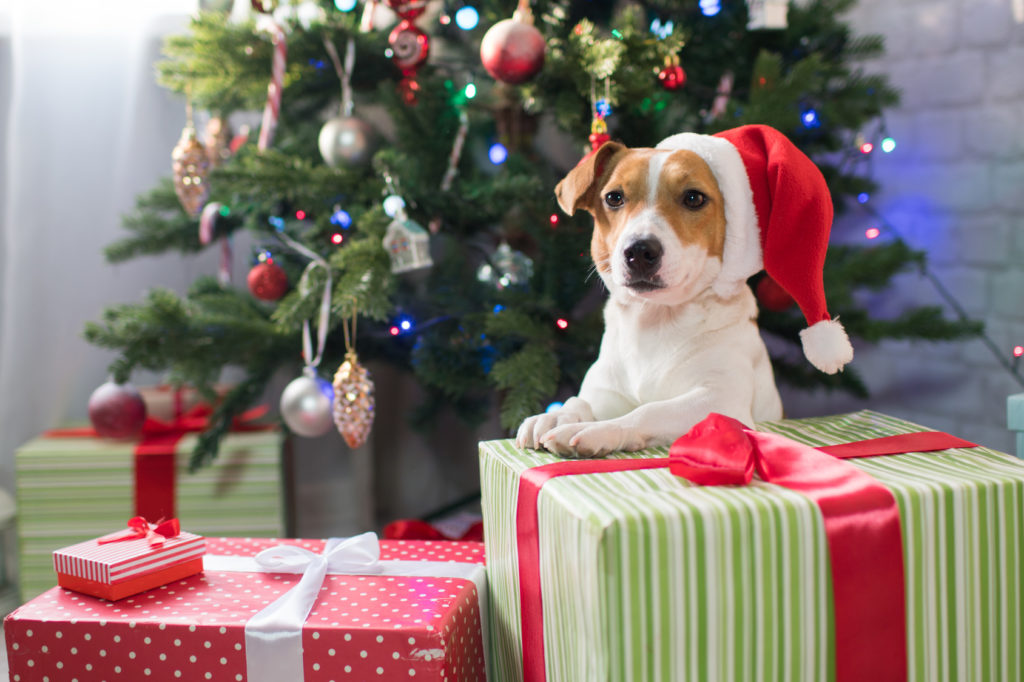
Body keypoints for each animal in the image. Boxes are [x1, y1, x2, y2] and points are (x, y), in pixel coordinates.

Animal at [516, 138, 786, 456]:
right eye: (614, 197)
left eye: (693, 198)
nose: (639, 251)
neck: (654, 321)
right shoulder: (604, 392)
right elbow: (578, 400)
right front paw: (556, 415)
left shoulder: (721, 400)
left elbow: (648, 411)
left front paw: (597, 431)